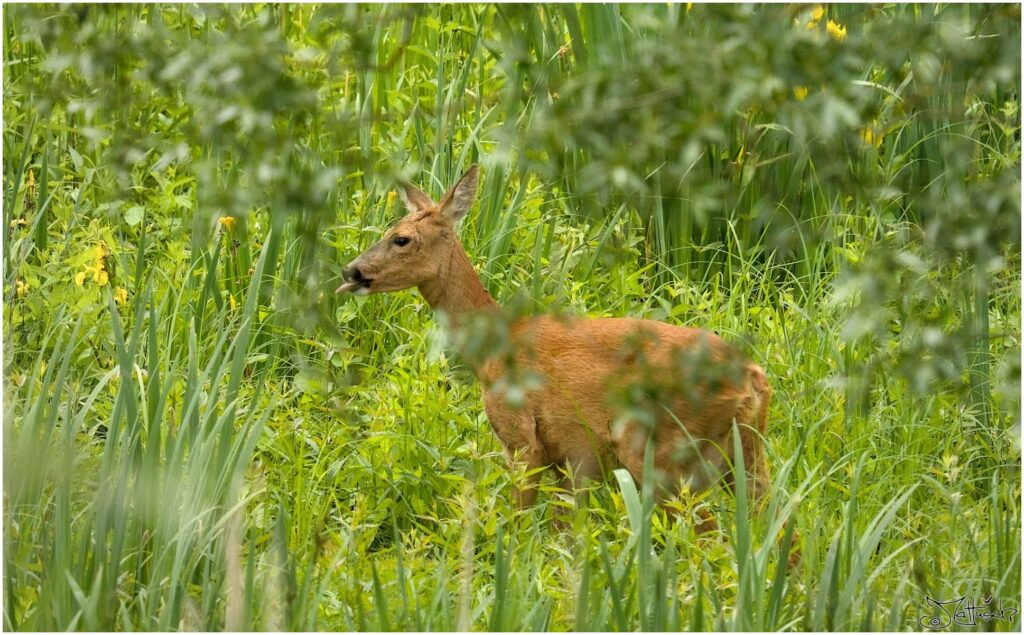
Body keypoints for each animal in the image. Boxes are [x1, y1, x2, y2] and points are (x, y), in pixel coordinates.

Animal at [339, 163, 770, 524]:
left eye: (401, 239)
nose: (351, 271)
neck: (493, 348)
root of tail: (751, 375)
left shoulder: (521, 439)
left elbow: (519, 524)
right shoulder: (568, 458)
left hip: (661, 450)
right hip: (745, 451)